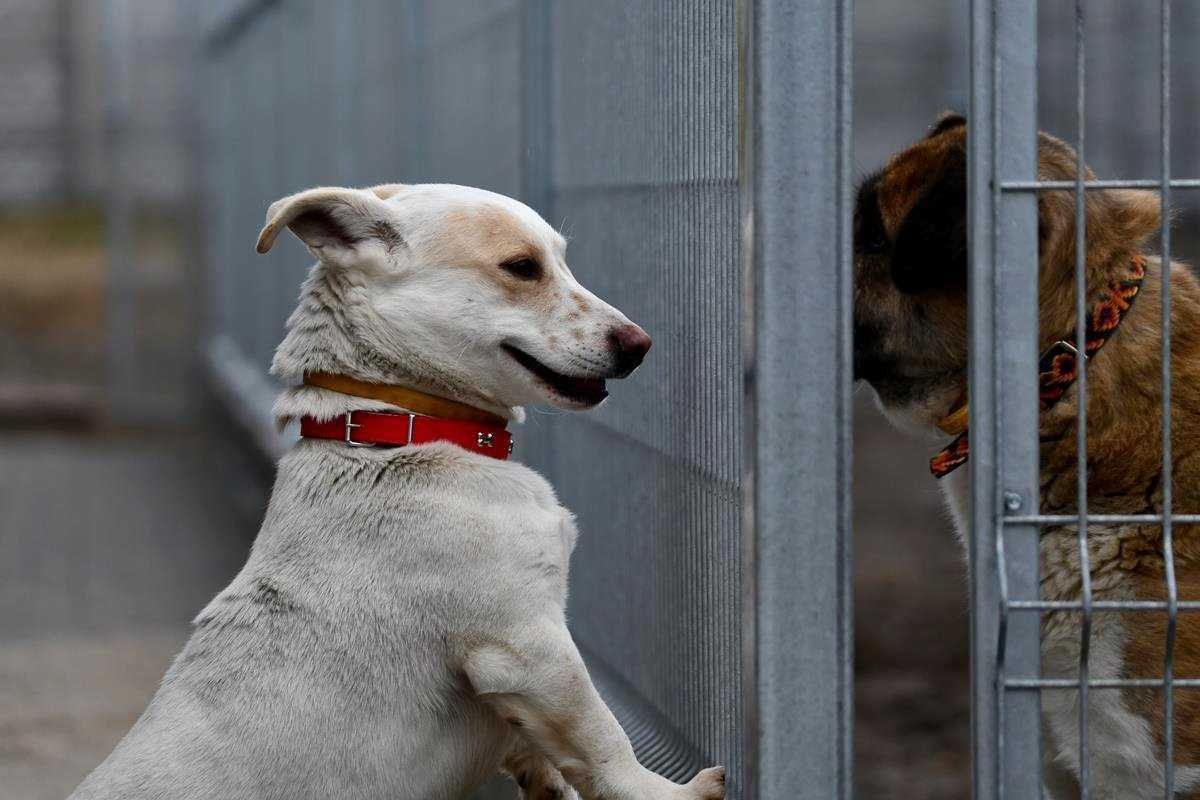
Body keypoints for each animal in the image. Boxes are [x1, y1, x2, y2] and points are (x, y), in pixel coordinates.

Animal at [70, 183, 724, 800]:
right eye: (521, 267)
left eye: (562, 261)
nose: (639, 345)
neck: (400, 428)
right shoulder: (527, 646)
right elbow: (601, 735)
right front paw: (672, 792)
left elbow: (540, 745)